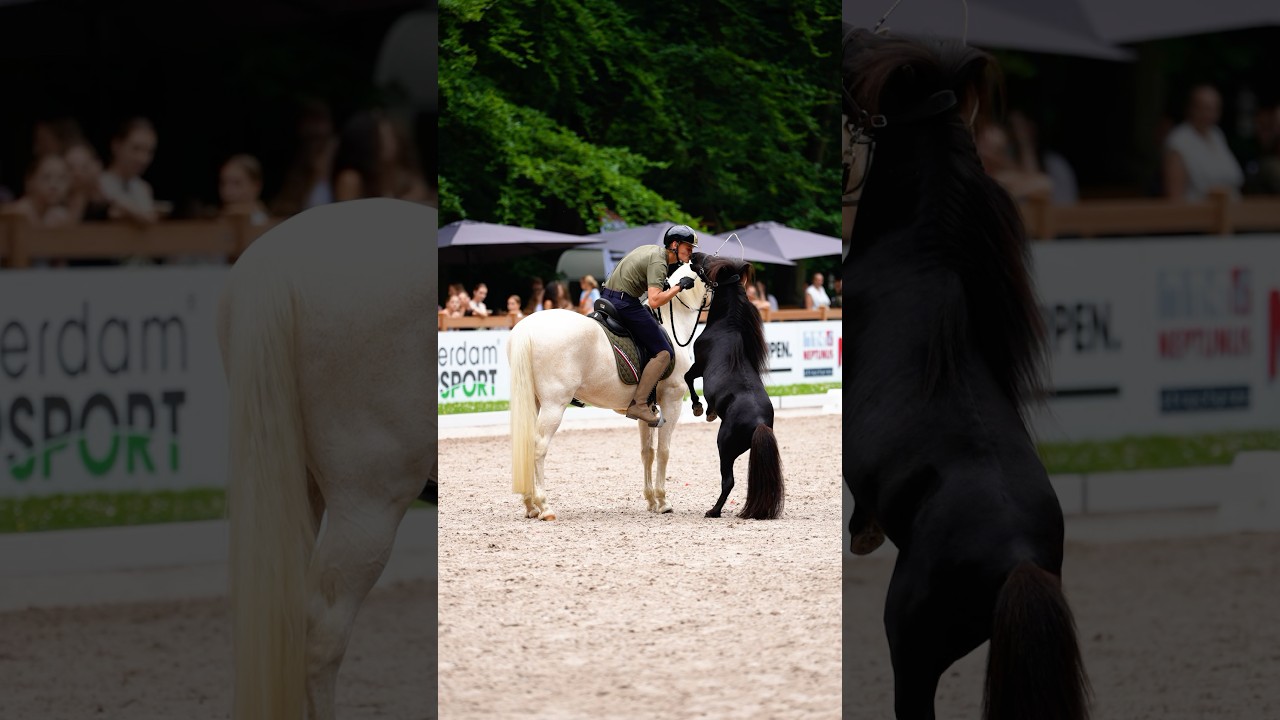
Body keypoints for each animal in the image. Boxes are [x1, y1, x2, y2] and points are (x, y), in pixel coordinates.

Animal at [507, 260, 707, 520]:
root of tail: (526, 329)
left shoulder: (646, 410)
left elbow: (648, 452)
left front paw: (651, 500)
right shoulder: (671, 401)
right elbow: (664, 451)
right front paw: (663, 501)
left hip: (534, 402)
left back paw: (530, 505)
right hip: (553, 406)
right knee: (539, 448)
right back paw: (544, 506)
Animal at [682, 255, 785, 519]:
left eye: (710, 262)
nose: (694, 257)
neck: (727, 326)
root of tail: (759, 423)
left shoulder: (698, 366)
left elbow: (688, 379)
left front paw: (701, 409)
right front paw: (708, 410)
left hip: (724, 447)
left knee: (728, 481)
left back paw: (713, 511)